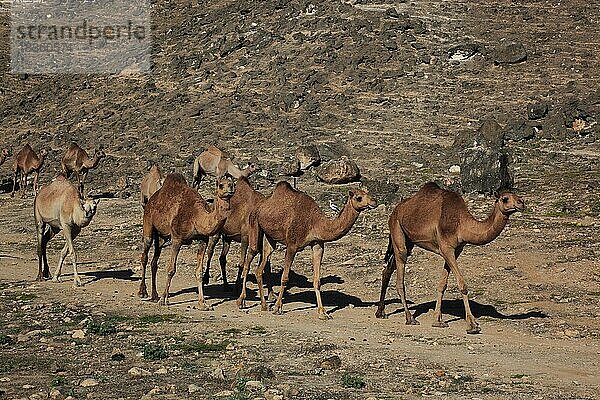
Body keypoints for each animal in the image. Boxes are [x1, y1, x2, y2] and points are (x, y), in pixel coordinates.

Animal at [139, 173, 234, 310]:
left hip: (161, 237)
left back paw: (154, 295)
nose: (231, 188)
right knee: (145, 255)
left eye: (233, 183)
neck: (197, 217)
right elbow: (171, 269)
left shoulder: (203, 240)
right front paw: (163, 300)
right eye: (221, 185)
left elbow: (199, 271)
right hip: (148, 222)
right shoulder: (177, 238)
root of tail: (151, 200)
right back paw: (143, 292)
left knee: (154, 260)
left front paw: (202, 304)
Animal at [238, 181, 376, 318]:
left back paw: (263, 305)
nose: (374, 201)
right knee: (251, 255)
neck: (315, 222)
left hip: (270, 236)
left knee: (260, 266)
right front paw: (277, 307)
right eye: (359, 197)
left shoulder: (318, 245)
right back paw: (241, 301)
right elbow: (285, 278)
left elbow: (317, 280)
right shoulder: (292, 245)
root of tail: (260, 205)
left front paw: (323, 313)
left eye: (368, 193)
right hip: (254, 223)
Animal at [376, 182, 524, 334]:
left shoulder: (456, 250)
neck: (461, 223)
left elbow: (442, 284)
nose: (521, 203)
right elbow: (462, 284)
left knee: (387, 270)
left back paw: (381, 312)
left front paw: (437, 320)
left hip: (409, 240)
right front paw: (473, 325)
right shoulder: (446, 248)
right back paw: (409, 318)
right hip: (397, 230)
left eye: (517, 196)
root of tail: (395, 210)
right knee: (400, 274)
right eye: (505, 199)